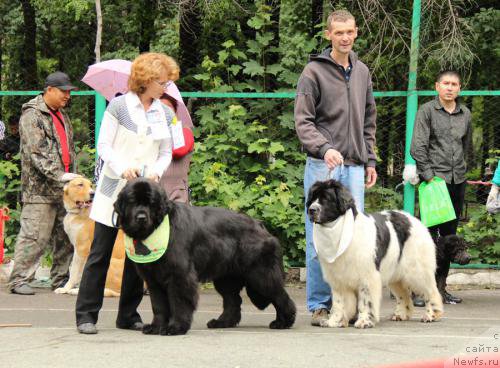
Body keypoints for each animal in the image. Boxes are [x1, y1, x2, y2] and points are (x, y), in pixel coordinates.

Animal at [113, 177, 296, 334]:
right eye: (132, 201)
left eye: (151, 203)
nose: (141, 217)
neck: (157, 229)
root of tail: (259, 224)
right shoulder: (153, 280)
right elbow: (158, 306)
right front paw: (156, 327)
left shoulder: (180, 275)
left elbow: (179, 302)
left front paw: (176, 327)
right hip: (226, 277)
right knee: (233, 300)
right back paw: (222, 322)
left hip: (261, 275)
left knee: (279, 295)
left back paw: (283, 322)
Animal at [306, 180, 444, 330]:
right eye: (312, 199)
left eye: (326, 199)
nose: (311, 210)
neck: (338, 229)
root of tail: (415, 220)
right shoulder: (338, 278)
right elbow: (339, 302)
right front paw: (334, 321)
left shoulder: (367, 276)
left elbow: (366, 301)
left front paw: (364, 321)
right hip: (395, 273)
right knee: (404, 295)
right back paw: (401, 314)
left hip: (417, 270)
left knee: (430, 291)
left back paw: (431, 315)